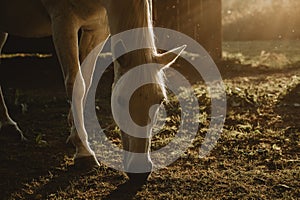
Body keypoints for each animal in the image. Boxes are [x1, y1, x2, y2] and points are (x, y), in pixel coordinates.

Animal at [0, 0, 184, 183]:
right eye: (120, 100)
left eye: (160, 101)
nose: (140, 170)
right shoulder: (63, 20)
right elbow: (76, 84)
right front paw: (84, 152)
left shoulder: (98, 28)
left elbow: (86, 80)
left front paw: (74, 132)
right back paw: (9, 125)